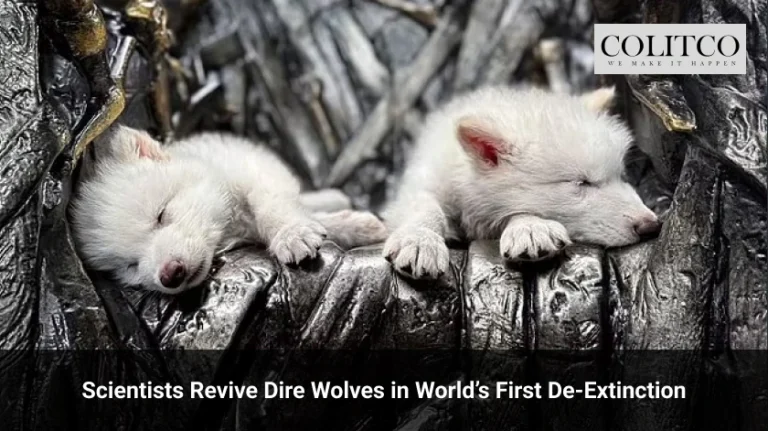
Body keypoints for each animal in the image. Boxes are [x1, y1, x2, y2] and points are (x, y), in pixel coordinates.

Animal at [70, 126, 387, 294]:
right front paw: (351, 226)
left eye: (161, 215)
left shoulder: (254, 169)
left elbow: (272, 205)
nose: (170, 274)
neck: (228, 225)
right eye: (130, 266)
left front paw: (292, 234)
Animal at [382, 86, 660, 279]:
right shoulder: (422, 182)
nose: (652, 226)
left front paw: (530, 228)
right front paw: (419, 240)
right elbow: (425, 207)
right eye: (582, 182)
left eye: (621, 176)